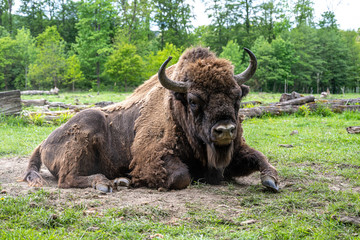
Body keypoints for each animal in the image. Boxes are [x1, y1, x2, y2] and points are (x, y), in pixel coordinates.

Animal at [22, 47, 280, 192]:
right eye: (194, 100)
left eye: (237, 96)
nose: (225, 130)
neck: (176, 108)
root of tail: (44, 142)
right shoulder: (151, 156)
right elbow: (180, 176)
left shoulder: (235, 151)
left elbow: (262, 159)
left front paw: (272, 181)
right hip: (85, 128)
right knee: (67, 179)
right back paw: (107, 183)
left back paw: (118, 181)